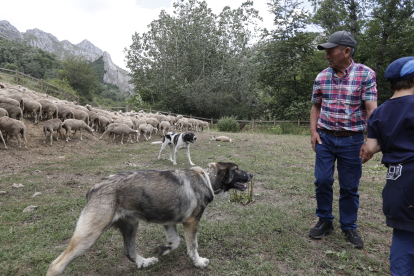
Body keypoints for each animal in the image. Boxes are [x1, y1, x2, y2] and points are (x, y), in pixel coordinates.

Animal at [45, 161, 252, 274]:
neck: (207, 178)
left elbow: (175, 242)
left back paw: (145, 262)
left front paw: (162, 250)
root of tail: (94, 189)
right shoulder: (191, 222)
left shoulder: (170, 222)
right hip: (89, 234)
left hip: (130, 225)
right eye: (237, 169)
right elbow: (193, 247)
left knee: (129, 251)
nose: (251, 173)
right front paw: (199, 263)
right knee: (56, 265)